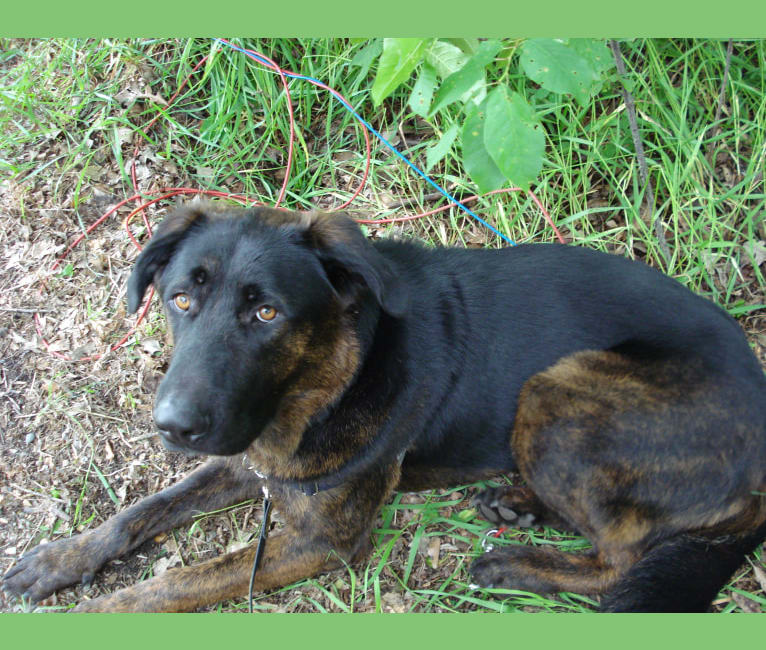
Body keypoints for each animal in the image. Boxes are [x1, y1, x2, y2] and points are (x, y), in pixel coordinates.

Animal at [1, 204, 766, 612]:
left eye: (267, 313)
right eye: (181, 299)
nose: (174, 427)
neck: (335, 376)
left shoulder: (320, 541)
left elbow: (177, 582)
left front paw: (102, 611)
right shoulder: (250, 457)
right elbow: (143, 510)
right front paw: (62, 559)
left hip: (560, 390)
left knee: (620, 556)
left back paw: (515, 564)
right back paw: (518, 505)